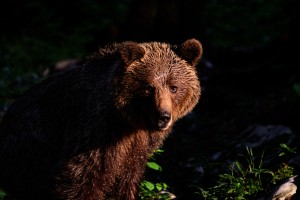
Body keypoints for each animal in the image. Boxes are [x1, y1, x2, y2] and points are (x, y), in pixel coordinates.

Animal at [0, 38, 204, 199]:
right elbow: (81, 177)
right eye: (148, 88)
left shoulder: (139, 147)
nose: (163, 117)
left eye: (174, 87)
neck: (129, 121)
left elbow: (127, 179)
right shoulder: (96, 131)